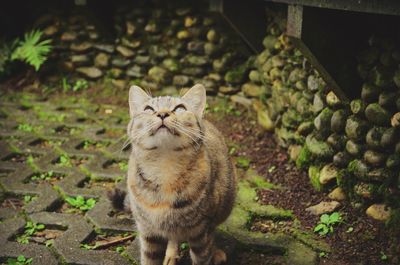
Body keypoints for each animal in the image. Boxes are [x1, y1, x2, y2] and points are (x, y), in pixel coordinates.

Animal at [108, 84, 236, 264]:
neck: (164, 166)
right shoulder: (149, 232)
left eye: (180, 108)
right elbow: (149, 259)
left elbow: (202, 256)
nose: (162, 113)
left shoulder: (201, 232)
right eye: (148, 109)